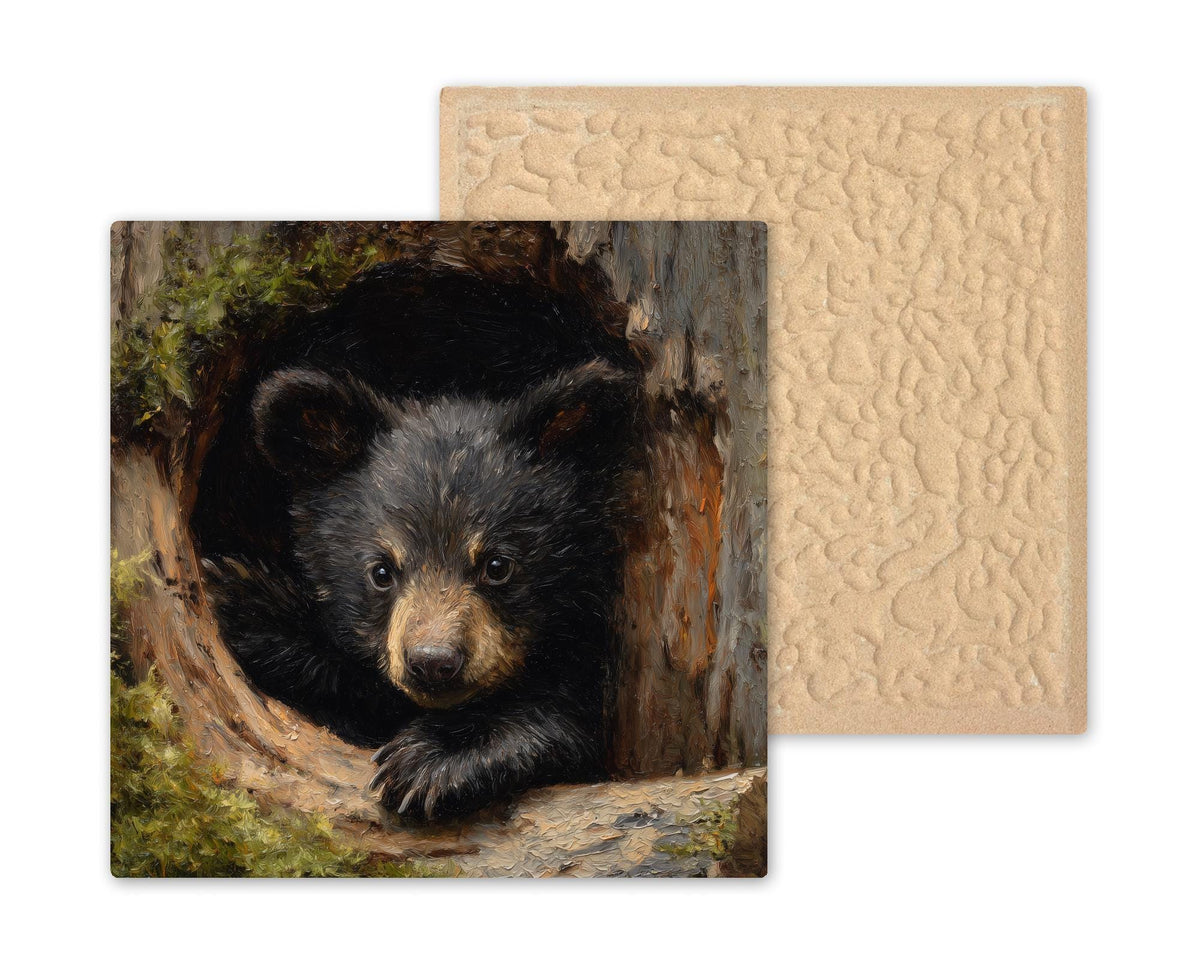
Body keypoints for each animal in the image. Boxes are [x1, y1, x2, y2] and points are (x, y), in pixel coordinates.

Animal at [204, 359, 638, 820]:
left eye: (497, 566)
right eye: (381, 572)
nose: (433, 662)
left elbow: (565, 720)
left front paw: (430, 761)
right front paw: (243, 599)